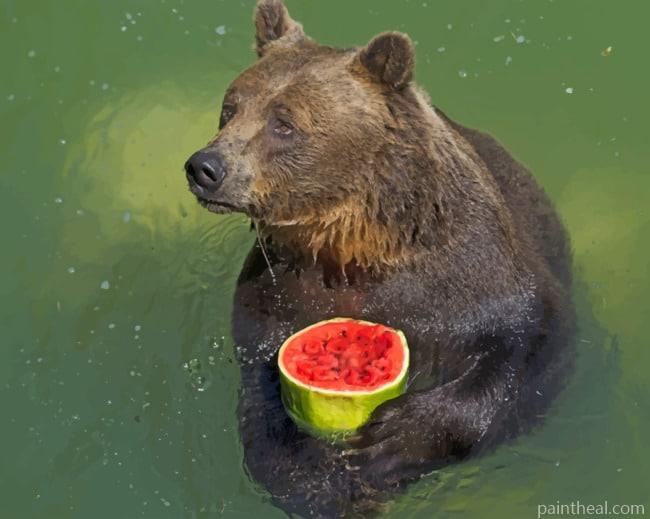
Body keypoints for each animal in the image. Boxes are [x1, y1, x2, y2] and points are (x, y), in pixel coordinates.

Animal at [183, 0, 575, 516]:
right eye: (230, 109)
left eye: (283, 122)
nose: (205, 167)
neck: (352, 245)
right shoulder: (276, 288)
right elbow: (260, 383)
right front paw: (312, 478)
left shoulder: (471, 275)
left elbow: (528, 341)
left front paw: (393, 438)